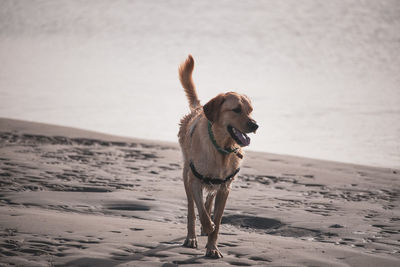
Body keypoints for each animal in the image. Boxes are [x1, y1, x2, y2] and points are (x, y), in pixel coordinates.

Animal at [178, 55, 260, 260]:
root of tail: (199, 108)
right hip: (186, 177)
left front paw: (212, 247)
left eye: (251, 110)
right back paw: (191, 237)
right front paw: (207, 226)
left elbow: (217, 218)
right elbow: (201, 211)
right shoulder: (194, 180)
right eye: (236, 109)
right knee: (192, 209)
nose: (256, 125)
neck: (221, 148)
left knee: (209, 200)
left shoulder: (225, 188)